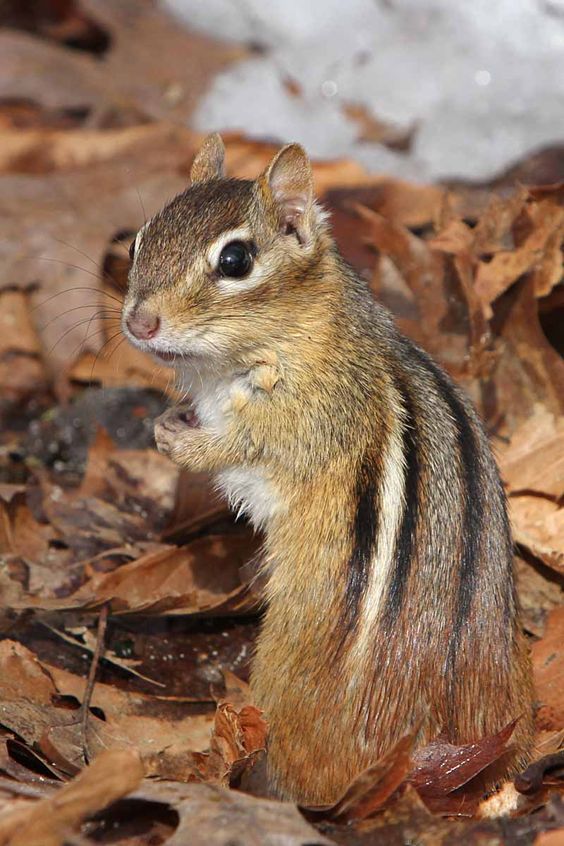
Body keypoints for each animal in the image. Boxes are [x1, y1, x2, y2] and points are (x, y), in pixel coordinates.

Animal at [122, 133, 534, 805]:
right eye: (138, 240)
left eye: (235, 260)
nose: (138, 322)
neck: (300, 327)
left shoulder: (308, 418)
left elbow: (246, 448)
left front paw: (176, 439)